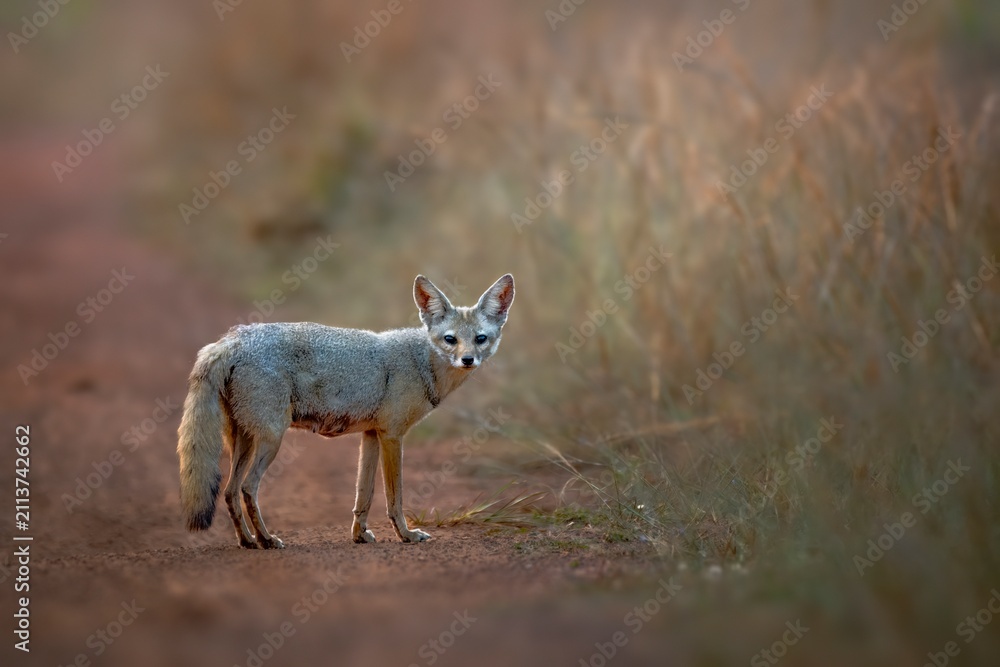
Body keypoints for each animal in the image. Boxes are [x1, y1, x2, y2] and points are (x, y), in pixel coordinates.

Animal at [176, 273, 514, 549]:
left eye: (480, 339)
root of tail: (232, 339)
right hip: (271, 440)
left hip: (244, 441)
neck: (422, 363)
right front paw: (406, 535)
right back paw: (267, 539)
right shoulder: (393, 436)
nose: (468, 360)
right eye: (450, 339)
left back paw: (247, 541)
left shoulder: (372, 435)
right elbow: (394, 497)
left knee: (229, 492)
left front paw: (359, 535)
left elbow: (363, 496)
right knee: (247, 488)